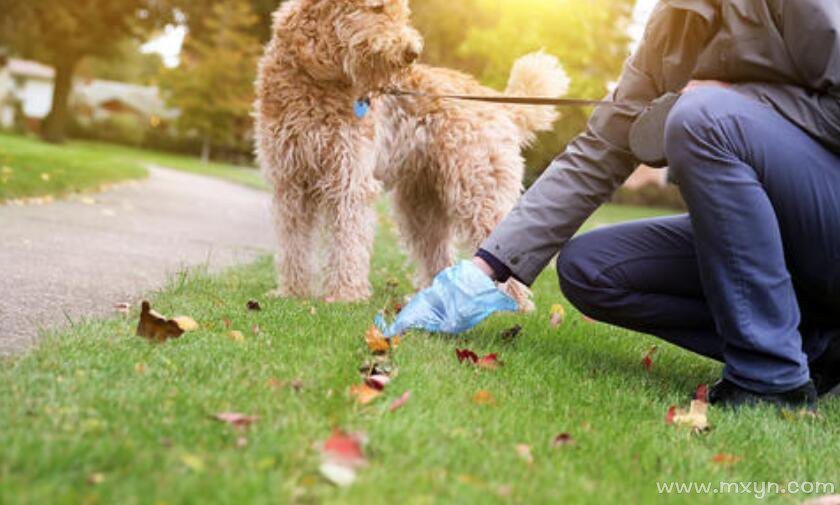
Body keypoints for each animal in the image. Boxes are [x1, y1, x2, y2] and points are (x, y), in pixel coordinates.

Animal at [258, 0, 572, 304]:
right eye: (377, 8)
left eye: (402, 11)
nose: (412, 52)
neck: (315, 77)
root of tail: (499, 103)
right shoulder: (290, 181)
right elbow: (293, 243)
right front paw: (293, 292)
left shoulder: (350, 180)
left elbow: (348, 241)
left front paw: (344, 295)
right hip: (421, 205)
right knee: (439, 254)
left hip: (479, 190)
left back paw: (512, 304)